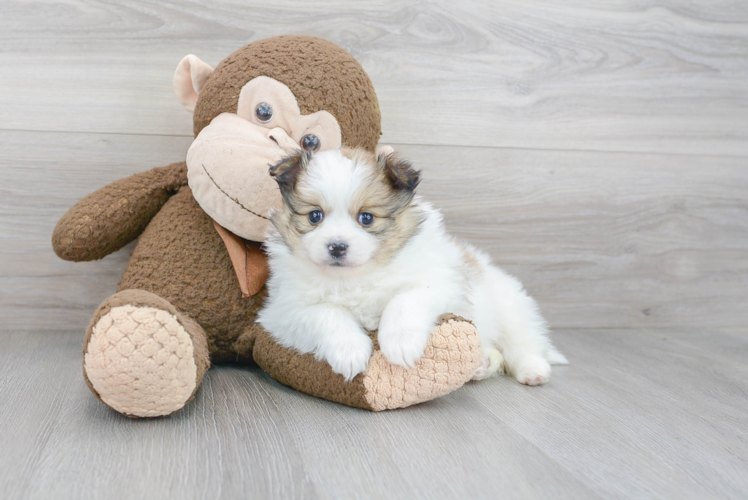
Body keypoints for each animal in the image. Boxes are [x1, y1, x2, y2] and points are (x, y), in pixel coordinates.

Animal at [258, 146, 568, 384]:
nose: (337, 246)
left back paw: (533, 370)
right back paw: (480, 365)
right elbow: (328, 313)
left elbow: (404, 301)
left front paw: (401, 344)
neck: (356, 277)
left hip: (511, 310)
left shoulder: (439, 283)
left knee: (523, 344)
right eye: (315, 216)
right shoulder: (284, 311)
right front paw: (350, 351)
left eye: (366, 218)